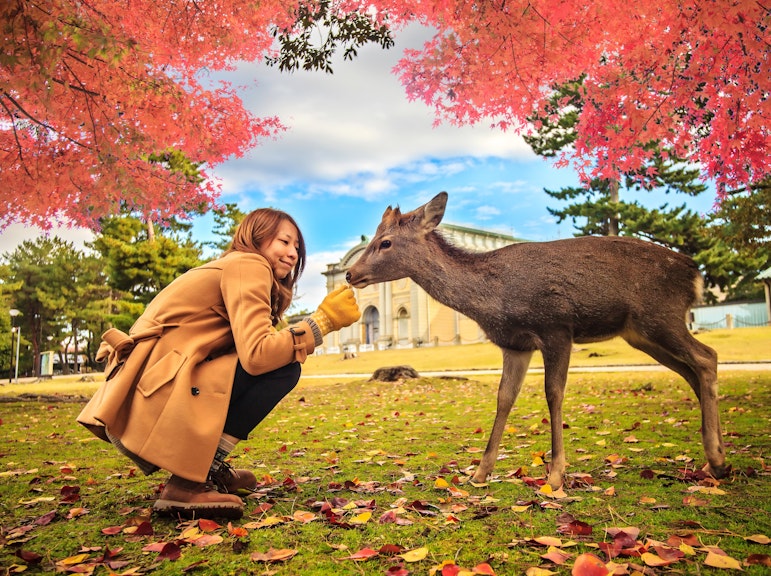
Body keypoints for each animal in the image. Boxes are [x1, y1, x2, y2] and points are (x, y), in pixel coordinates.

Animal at [346, 192, 727, 488]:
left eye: (385, 242)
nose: (349, 273)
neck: (494, 298)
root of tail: (695, 273)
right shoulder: (515, 344)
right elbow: (504, 398)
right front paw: (479, 472)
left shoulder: (556, 328)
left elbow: (553, 393)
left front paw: (556, 474)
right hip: (641, 333)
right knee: (692, 371)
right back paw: (715, 459)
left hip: (661, 316)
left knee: (706, 357)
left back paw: (717, 457)